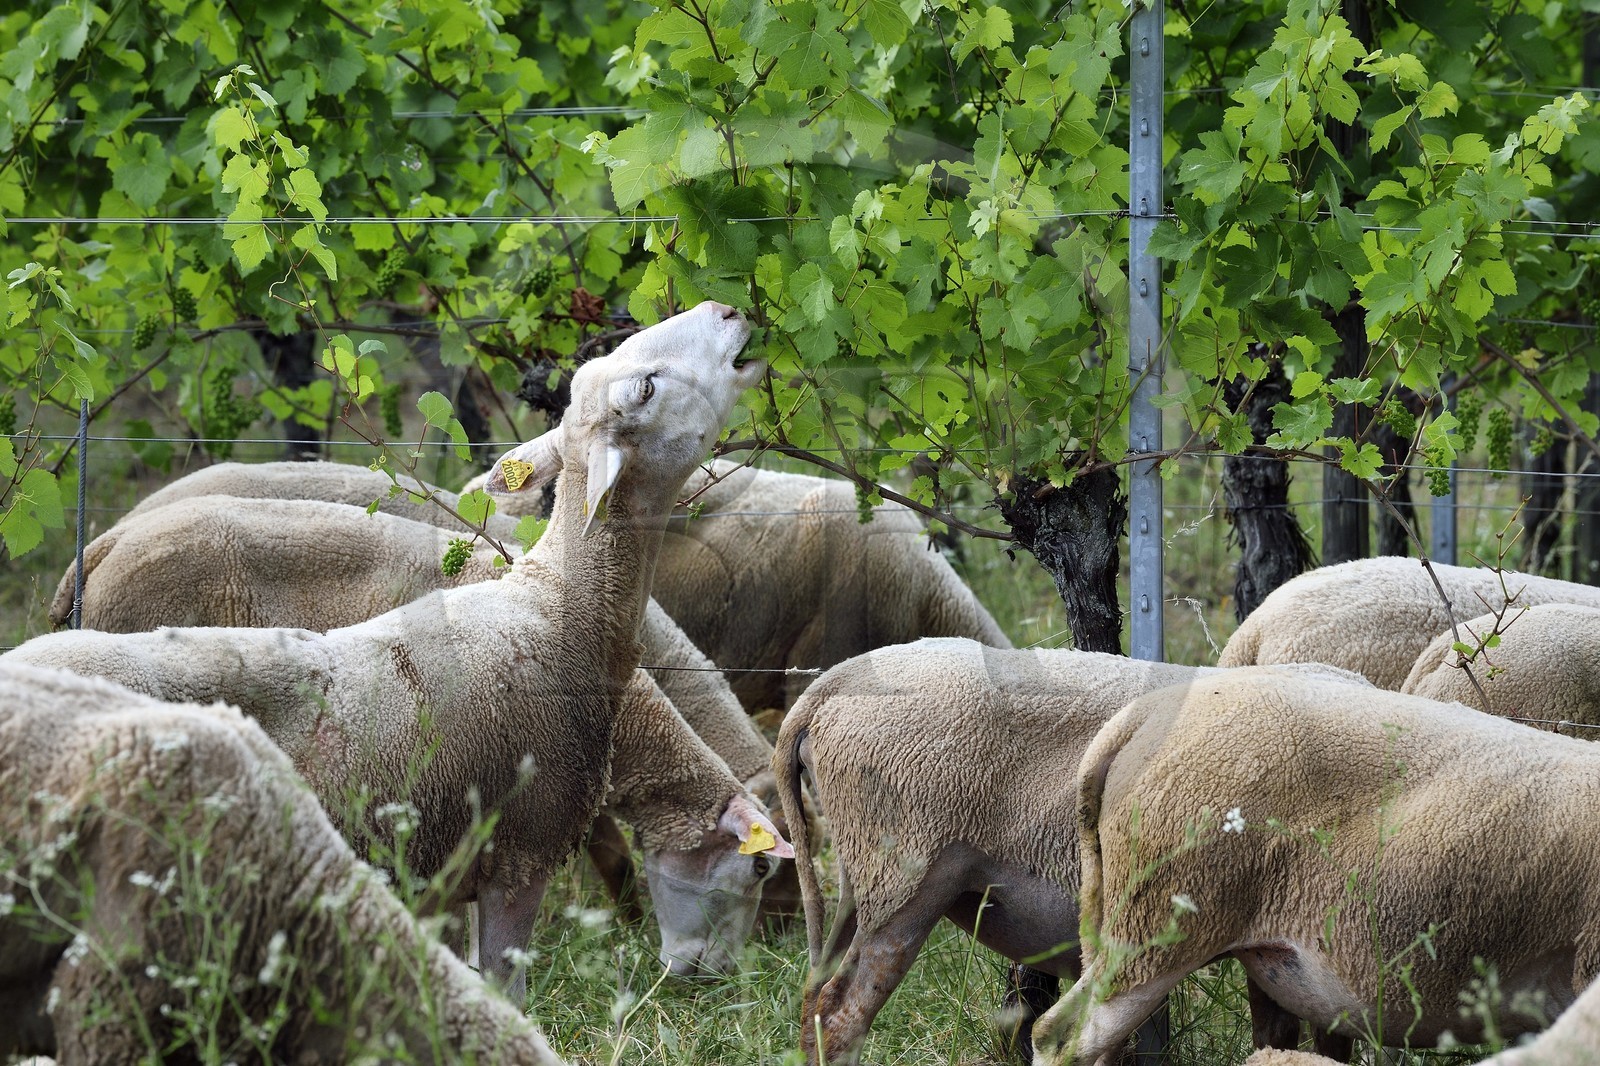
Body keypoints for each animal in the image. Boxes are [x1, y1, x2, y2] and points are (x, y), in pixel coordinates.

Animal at [3, 301, 773, 999]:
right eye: (645, 388)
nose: (725, 309)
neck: (558, 610)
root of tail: (97, 548)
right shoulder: (519, 857)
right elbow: (507, 990)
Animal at [773, 639, 1370, 1064]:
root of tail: (829, 687)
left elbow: (1286, 1036)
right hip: (908, 873)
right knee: (841, 1011)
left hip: (863, 876)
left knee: (813, 1000)